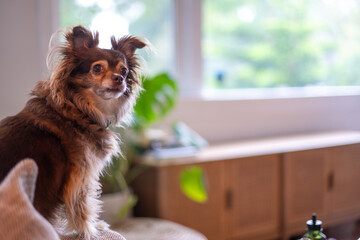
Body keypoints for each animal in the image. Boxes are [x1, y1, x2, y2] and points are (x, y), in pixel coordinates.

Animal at [0, 24, 148, 238]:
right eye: (97, 68)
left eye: (124, 70)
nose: (120, 78)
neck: (79, 112)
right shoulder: (80, 178)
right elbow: (83, 207)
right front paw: (91, 232)